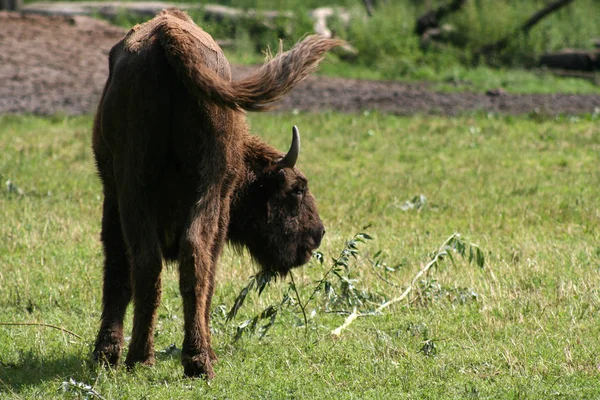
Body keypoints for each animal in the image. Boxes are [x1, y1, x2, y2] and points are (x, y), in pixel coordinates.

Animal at [91, 8, 340, 378]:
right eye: (296, 190)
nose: (317, 234)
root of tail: (167, 36)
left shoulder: (114, 196)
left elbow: (120, 272)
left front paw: (106, 353)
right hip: (203, 190)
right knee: (192, 258)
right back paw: (195, 359)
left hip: (136, 185)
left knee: (151, 261)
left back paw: (147, 358)